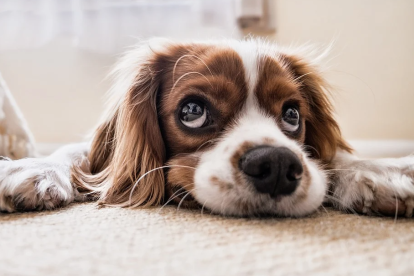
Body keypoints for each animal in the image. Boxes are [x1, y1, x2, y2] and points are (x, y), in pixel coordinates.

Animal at [0, 37, 414, 217]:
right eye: (193, 111)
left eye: (293, 115)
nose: (277, 165)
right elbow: (75, 153)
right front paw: (31, 169)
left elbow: (335, 157)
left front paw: (379, 172)